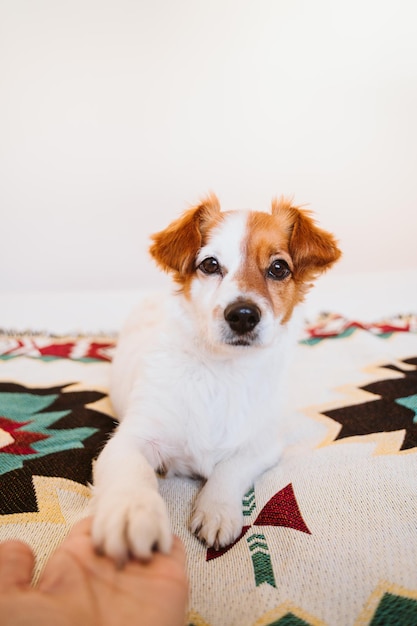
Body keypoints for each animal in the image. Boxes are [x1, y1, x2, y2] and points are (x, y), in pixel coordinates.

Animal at [89, 194, 340, 560]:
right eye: (209, 264)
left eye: (279, 268)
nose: (243, 315)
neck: (222, 372)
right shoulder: (131, 439)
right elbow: (134, 473)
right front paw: (132, 512)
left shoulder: (263, 445)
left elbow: (229, 469)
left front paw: (218, 510)